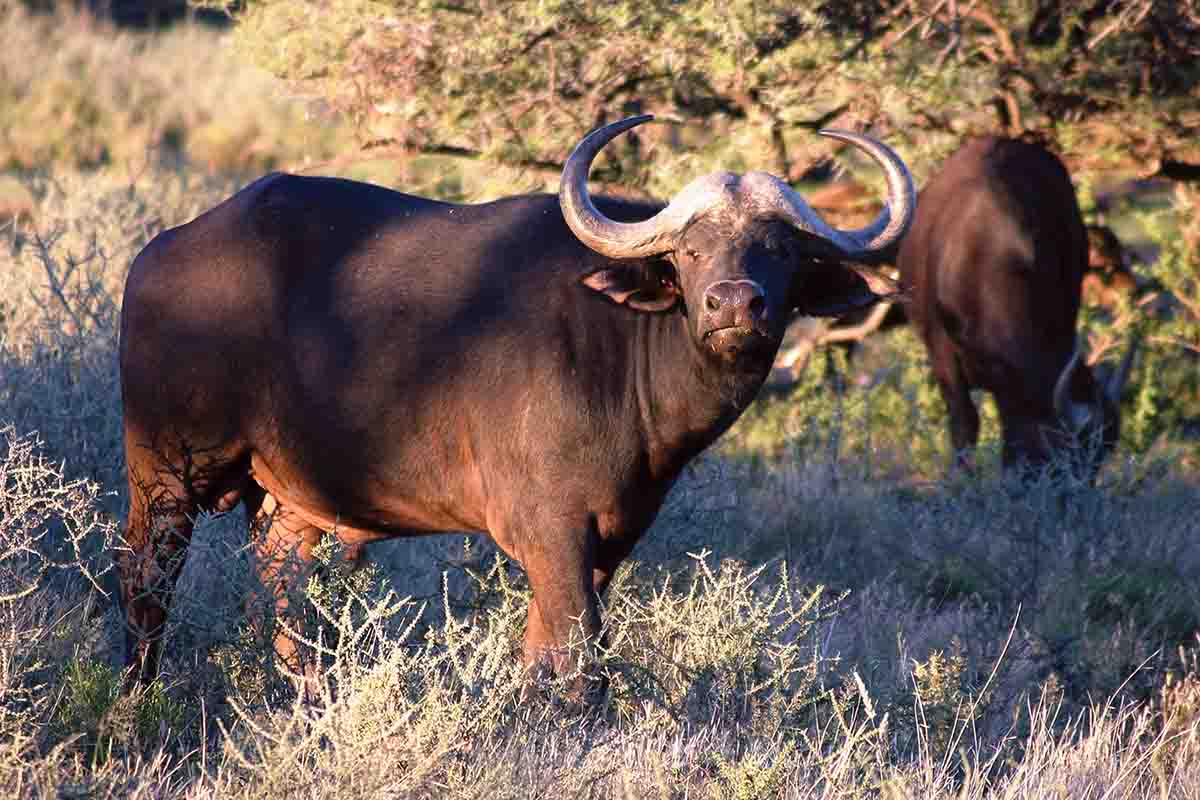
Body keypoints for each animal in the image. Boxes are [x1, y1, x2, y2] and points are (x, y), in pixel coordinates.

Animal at [117, 113, 912, 690]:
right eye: (689, 252)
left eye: (780, 251)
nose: (734, 305)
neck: (622, 347)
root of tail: (160, 253)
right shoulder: (549, 530)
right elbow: (579, 662)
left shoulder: (606, 539)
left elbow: (545, 657)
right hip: (166, 475)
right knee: (146, 582)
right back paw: (139, 699)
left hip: (294, 508)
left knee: (280, 598)